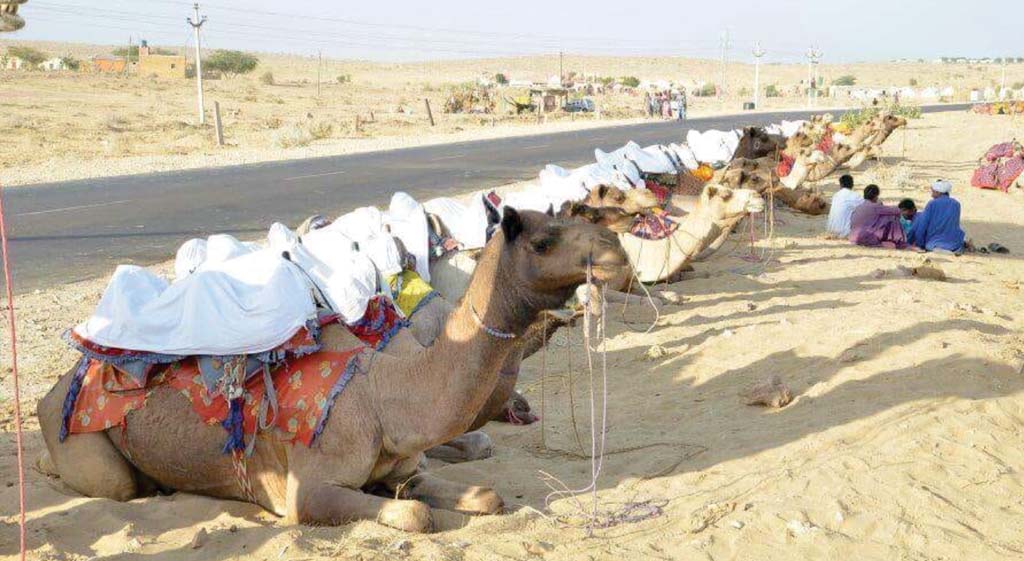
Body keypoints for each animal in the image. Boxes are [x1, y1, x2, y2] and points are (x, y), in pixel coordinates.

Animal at [39, 208, 626, 532]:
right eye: (543, 241)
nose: (615, 250)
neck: (384, 397)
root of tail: (56, 387)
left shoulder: (404, 468)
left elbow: (484, 495)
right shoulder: (308, 491)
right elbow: (415, 516)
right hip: (85, 443)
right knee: (114, 485)